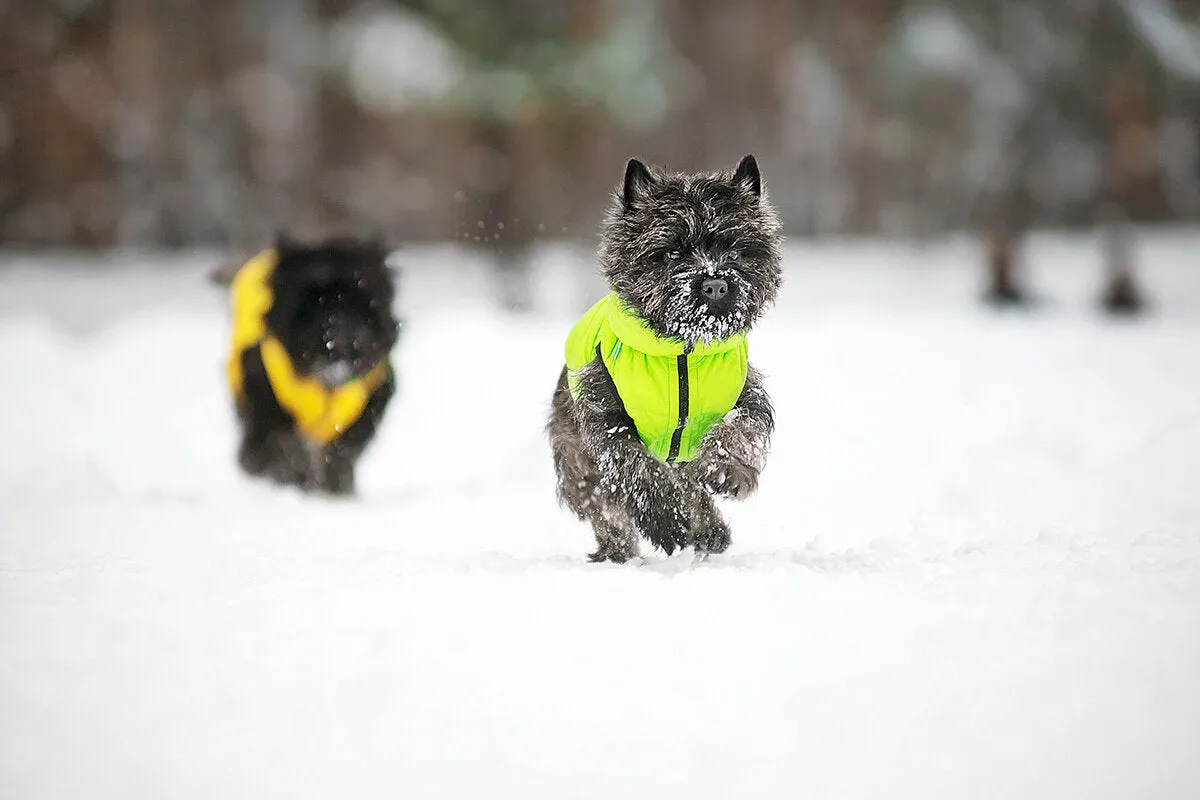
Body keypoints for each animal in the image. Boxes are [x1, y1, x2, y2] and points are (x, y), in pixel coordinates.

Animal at [229, 235, 403, 494]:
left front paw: (334, 487)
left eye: (361, 296)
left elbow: (342, 451)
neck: (326, 382)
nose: (339, 334)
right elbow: (280, 443)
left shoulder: (372, 396)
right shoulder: (264, 389)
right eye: (312, 300)